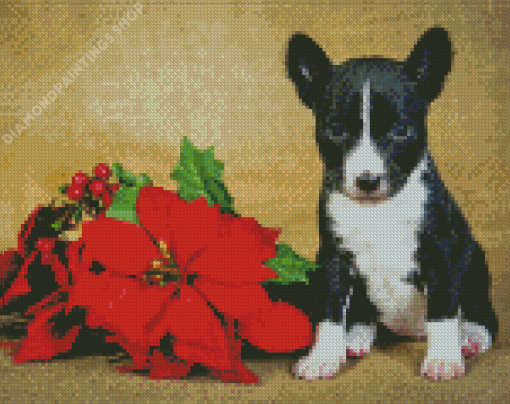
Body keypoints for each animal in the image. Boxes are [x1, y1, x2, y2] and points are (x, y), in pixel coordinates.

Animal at [286, 26, 498, 380]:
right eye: (336, 130)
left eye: (401, 131)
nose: (367, 180)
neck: (377, 210)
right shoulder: (333, 258)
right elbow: (330, 311)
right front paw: (322, 356)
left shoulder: (441, 252)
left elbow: (443, 309)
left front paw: (443, 358)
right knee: (362, 313)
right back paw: (355, 337)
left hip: (474, 263)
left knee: (481, 313)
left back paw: (469, 336)